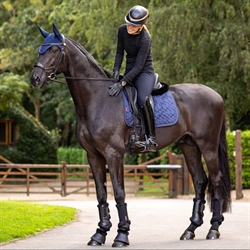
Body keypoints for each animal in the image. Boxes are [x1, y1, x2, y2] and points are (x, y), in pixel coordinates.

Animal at [30, 24, 231, 247]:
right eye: (40, 49)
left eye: (54, 50)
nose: (35, 79)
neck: (98, 99)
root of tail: (216, 95)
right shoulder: (94, 156)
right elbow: (101, 194)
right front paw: (100, 233)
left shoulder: (114, 154)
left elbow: (119, 193)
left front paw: (122, 235)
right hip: (189, 145)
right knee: (200, 181)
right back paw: (190, 229)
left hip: (208, 146)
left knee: (216, 180)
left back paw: (214, 229)